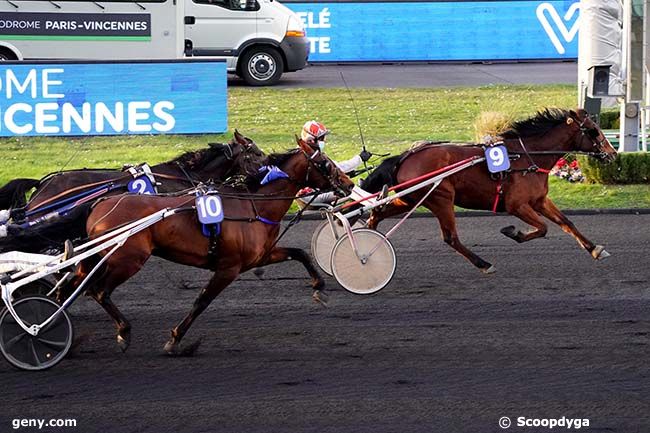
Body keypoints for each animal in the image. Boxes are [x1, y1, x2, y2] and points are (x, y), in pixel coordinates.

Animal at [61, 138, 352, 354]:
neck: (253, 206)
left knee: (73, 285)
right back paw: (122, 332)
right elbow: (202, 301)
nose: (348, 183)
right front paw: (175, 339)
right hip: (127, 260)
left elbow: (300, 253)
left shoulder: (260, 256)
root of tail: (98, 205)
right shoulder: (228, 268)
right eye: (325, 163)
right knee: (99, 291)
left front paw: (320, 289)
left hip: (101, 258)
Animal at [362, 107, 616, 274]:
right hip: (441, 199)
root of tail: (405, 156)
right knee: (451, 238)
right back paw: (484, 264)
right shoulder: (516, 205)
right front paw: (513, 232)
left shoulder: (540, 200)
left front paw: (594, 249)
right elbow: (542, 228)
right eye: (593, 130)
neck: (527, 157)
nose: (612, 153)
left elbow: (566, 222)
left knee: (377, 214)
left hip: (410, 199)